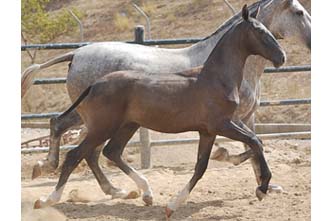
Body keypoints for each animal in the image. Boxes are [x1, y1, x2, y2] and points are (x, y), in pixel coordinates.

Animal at [22, 0, 310, 196]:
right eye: (299, 12)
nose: (283, 57)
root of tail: (77, 53)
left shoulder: (243, 118)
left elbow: (256, 145)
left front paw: (267, 184)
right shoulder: (228, 120)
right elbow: (249, 147)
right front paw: (232, 160)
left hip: (95, 118)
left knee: (77, 140)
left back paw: (110, 188)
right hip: (94, 118)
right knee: (74, 138)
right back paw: (53, 168)